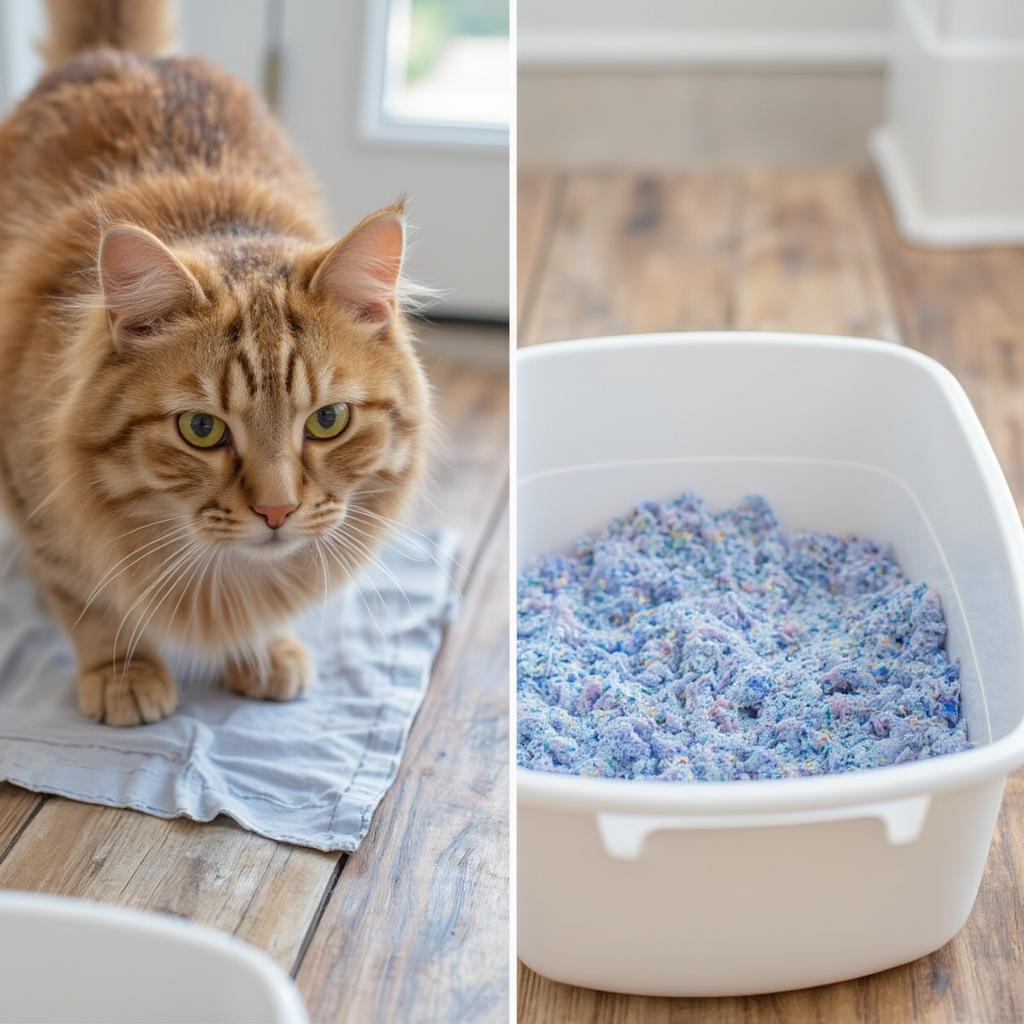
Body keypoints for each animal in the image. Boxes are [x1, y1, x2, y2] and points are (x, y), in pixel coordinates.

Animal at [0, 0, 430, 724]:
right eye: (201, 429)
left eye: (329, 421)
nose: (278, 512)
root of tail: (123, 55)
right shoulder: (40, 499)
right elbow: (88, 600)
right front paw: (122, 672)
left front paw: (262, 649)